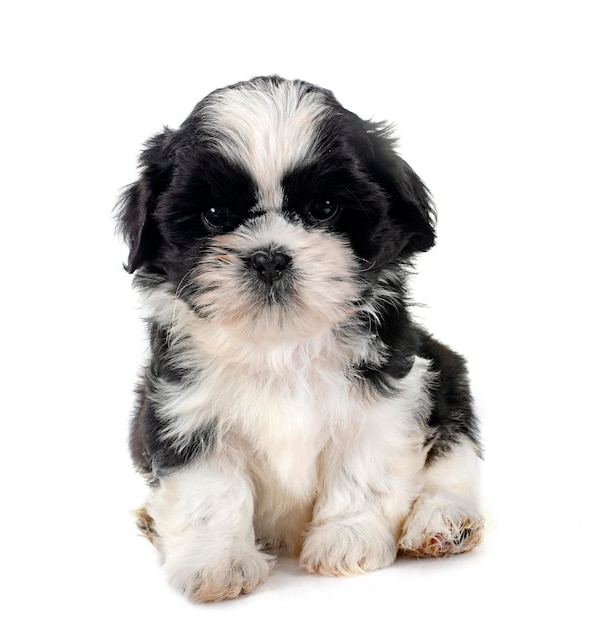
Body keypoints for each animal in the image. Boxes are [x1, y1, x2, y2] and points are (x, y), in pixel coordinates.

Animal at [117, 75, 482, 604]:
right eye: (213, 215)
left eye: (324, 208)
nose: (269, 257)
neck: (281, 345)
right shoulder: (183, 408)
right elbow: (209, 491)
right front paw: (216, 562)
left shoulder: (387, 393)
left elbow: (362, 469)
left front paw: (347, 539)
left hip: (448, 375)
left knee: (455, 456)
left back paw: (443, 521)